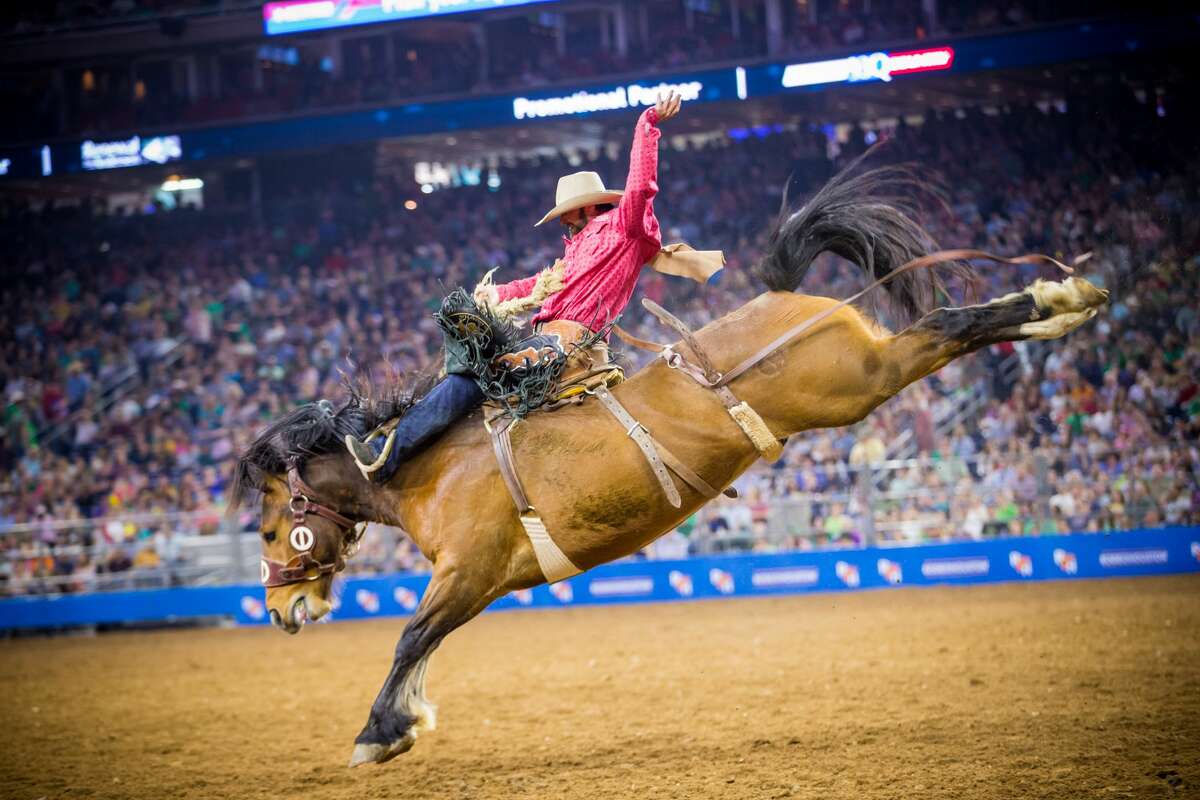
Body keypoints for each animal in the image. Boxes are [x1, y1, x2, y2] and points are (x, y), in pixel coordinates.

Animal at [225, 159, 1104, 767]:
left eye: (270, 530)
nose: (281, 611)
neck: (421, 467)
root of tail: (780, 297)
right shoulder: (479, 582)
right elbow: (423, 642)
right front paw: (401, 723)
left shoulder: (469, 570)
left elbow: (410, 637)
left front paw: (381, 732)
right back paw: (1064, 303)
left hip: (862, 380)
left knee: (948, 327)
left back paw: (1061, 301)